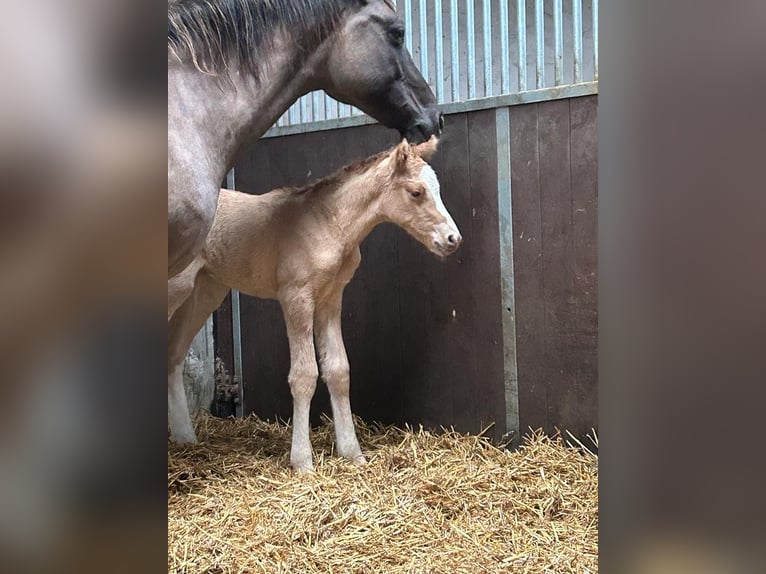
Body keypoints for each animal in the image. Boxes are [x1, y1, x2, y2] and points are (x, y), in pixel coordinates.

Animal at [168, 138, 462, 472]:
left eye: (438, 188)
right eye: (416, 192)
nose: (453, 239)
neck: (330, 224)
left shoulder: (330, 299)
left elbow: (338, 370)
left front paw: (352, 452)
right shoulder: (296, 297)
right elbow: (304, 374)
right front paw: (303, 461)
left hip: (206, 290)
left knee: (174, 354)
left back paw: (185, 438)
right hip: (178, 286)